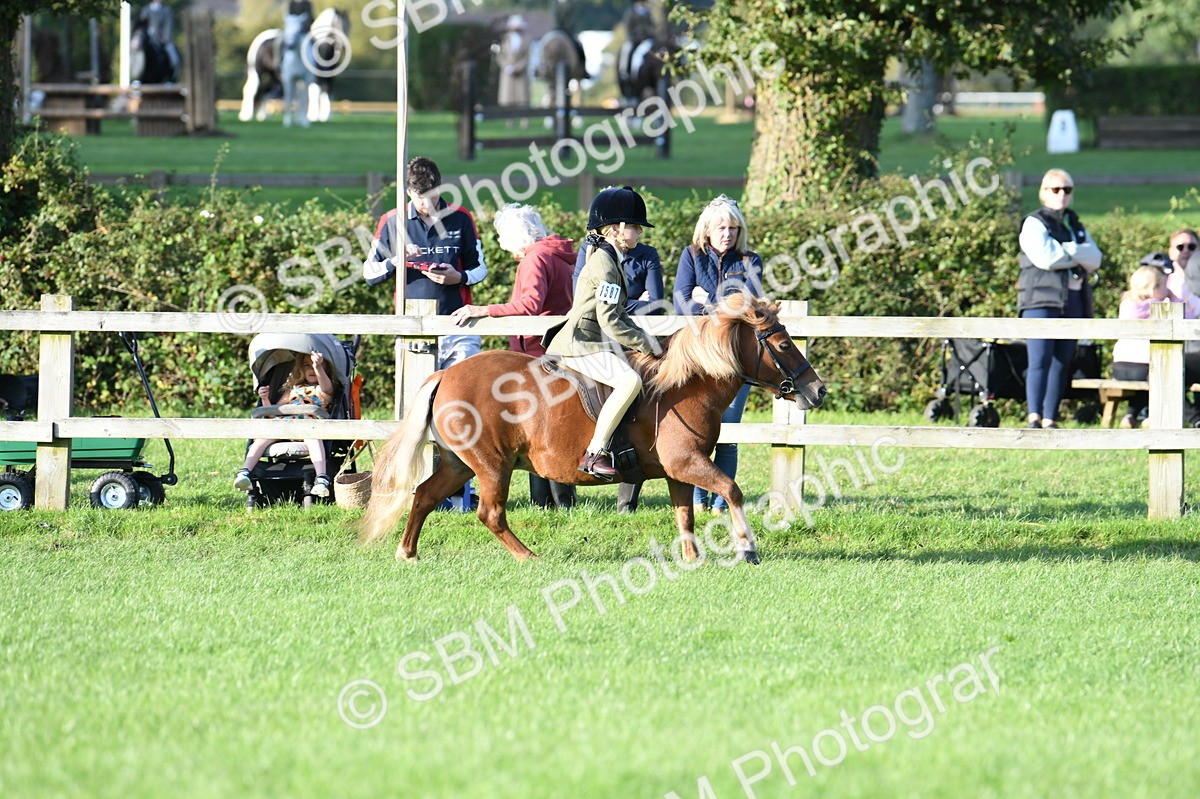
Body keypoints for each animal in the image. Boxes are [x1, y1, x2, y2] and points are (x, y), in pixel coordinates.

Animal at [359, 294, 827, 564]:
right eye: (783, 344)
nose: (818, 390)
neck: (685, 383)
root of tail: (446, 374)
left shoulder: (680, 469)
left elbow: (685, 513)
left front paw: (692, 559)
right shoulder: (688, 462)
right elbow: (731, 490)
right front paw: (747, 548)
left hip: (460, 464)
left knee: (424, 495)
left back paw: (408, 553)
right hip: (492, 465)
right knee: (489, 513)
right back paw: (530, 558)